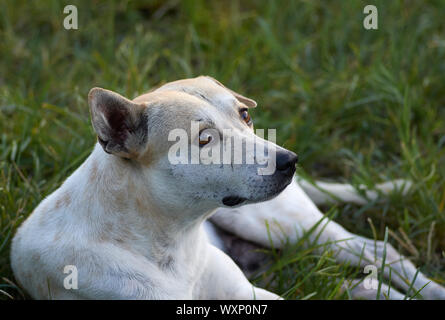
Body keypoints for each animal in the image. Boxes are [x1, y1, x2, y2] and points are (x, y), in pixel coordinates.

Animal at [10, 76, 444, 298]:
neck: (168, 241)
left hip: (287, 226)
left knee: (378, 251)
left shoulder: (250, 295)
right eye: (204, 139)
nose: (289, 160)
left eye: (245, 116)